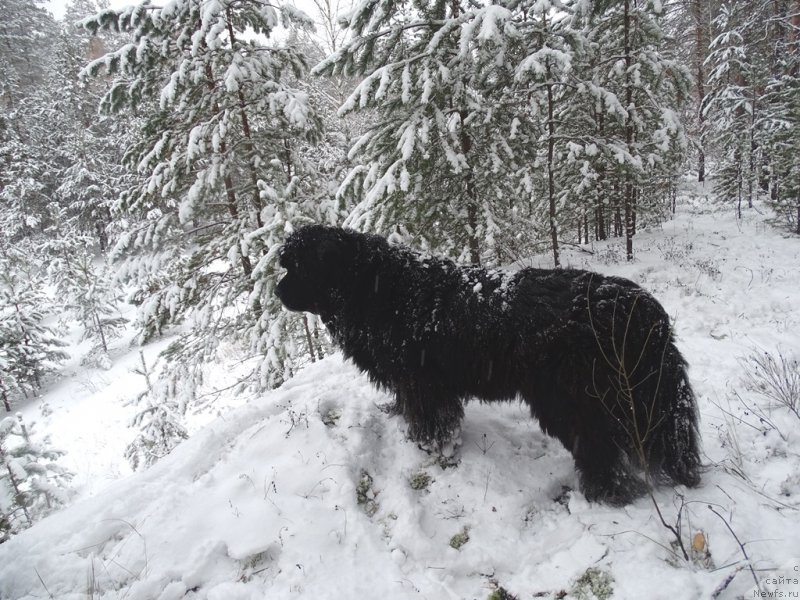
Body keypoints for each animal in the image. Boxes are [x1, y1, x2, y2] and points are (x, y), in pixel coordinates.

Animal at [276, 225, 700, 506]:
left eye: (296, 267)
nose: (276, 291)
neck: (375, 290)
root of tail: (640, 307)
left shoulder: (423, 381)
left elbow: (432, 421)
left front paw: (430, 448)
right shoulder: (411, 381)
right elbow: (408, 406)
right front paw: (400, 418)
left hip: (574, 399)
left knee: (599, 448)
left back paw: (606, 493)